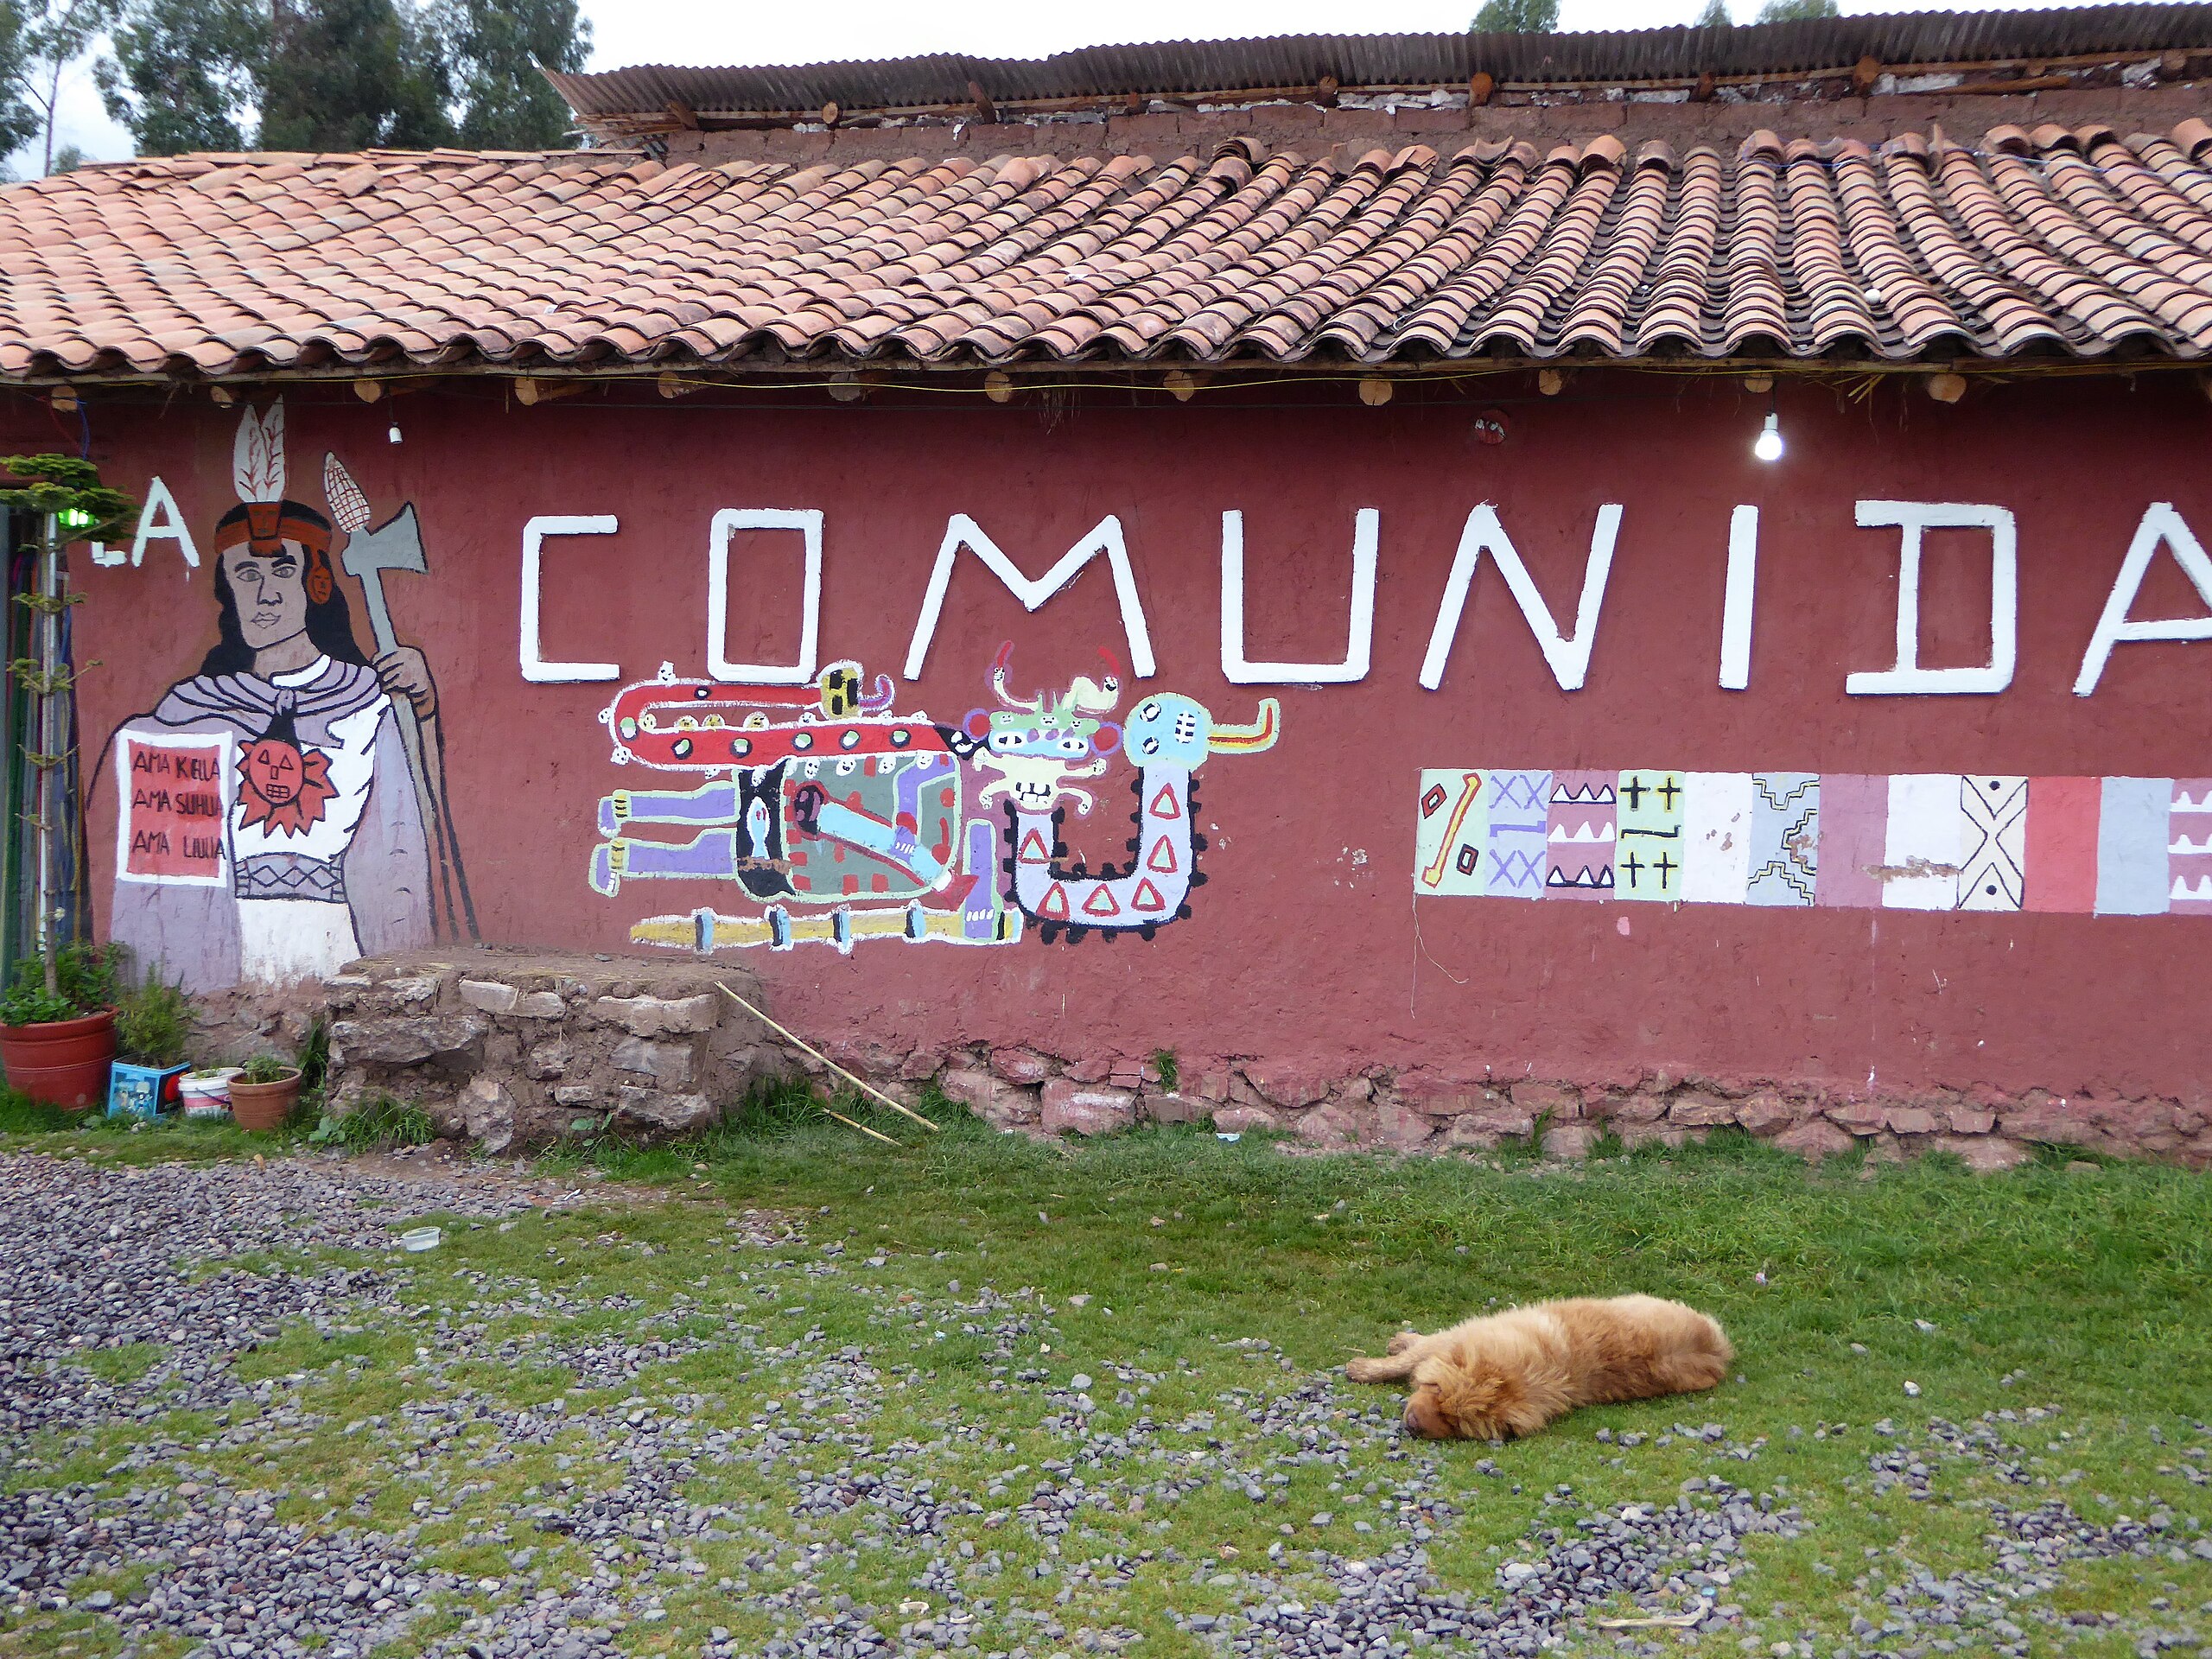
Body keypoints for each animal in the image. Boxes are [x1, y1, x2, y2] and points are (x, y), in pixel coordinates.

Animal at [1344, 1300, 1725, 1442]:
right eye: (1437, 1391)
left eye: (1455, 1422)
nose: (1412, 1425)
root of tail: (1719, 1348)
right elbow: (1413, 1356)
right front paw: (1370, 1364)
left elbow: (1414, 1356)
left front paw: (1364, 1367)